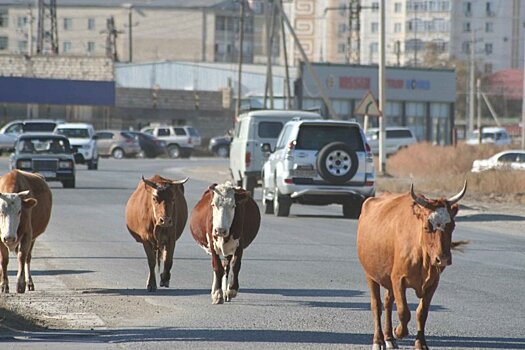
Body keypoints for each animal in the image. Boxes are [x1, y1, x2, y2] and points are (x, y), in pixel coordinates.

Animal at [356, 182, 466, 350]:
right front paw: (399, 331)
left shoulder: (432, 283)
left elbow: (421, 313)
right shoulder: (398, 279)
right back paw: (378, 340)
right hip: (370, 274)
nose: (443, 259)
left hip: (388, 279)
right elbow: (404, 311)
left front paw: (420, 343)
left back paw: (389, 339)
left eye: (452, 226)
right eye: (427, 227)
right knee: (377, 305)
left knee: (388, 303)